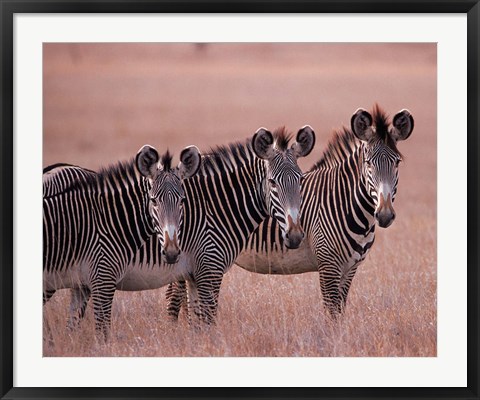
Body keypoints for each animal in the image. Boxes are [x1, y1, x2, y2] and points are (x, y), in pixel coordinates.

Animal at [168, 105, 412, 318]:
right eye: (368, 163)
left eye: (397, 163)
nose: (385, 215)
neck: (343, 203)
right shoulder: (328, 266)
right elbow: (332, 314)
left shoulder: (350, 269)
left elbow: (340, 312)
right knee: (174, 297)